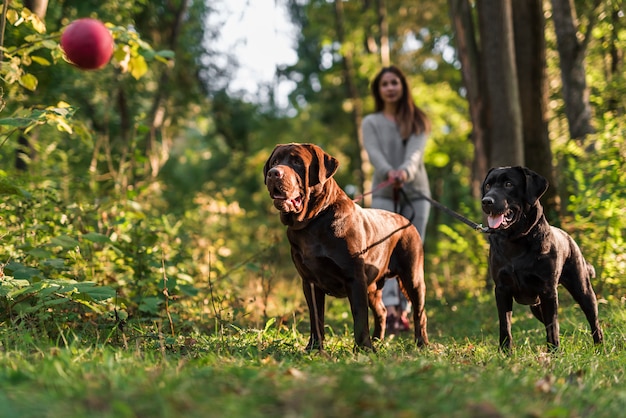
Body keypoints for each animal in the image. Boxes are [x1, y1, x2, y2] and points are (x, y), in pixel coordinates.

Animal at [480, 167, 604, 350]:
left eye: (508, 184)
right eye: (488, 185)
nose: (486, 201)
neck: (515, 240)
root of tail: (568, 237)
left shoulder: (548, 291)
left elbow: (552, 327)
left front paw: (554, 352)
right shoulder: (502, 289)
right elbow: (505, 325)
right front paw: (505, 352)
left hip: (583, 289)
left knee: (593, 321)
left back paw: (599, 348)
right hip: (536, 306)